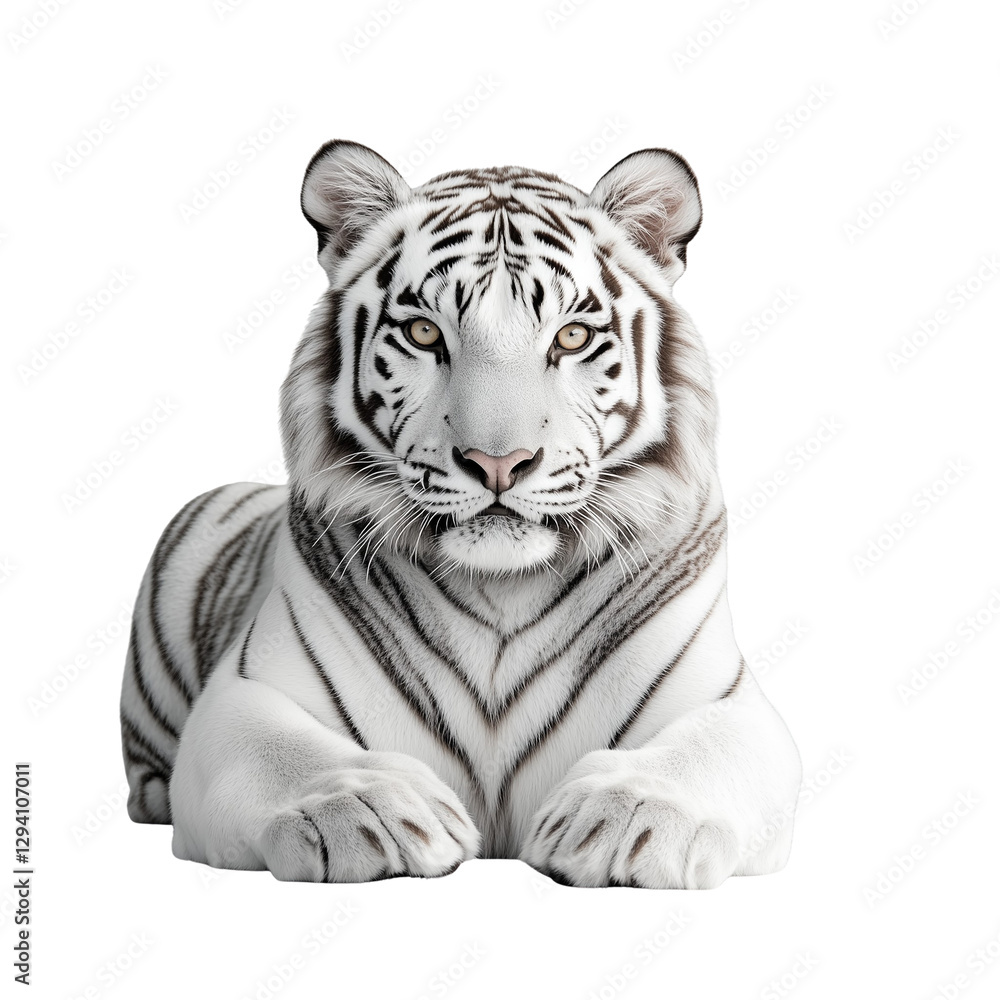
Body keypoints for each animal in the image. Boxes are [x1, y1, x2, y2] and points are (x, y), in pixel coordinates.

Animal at [119, 139, 802, 888]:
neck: (501, 589)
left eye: (571, 337)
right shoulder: (244, 692)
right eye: (424, 333)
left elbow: (702, 754)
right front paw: (375, 812)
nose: (499, 463)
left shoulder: (730, 703)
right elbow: (289, 755)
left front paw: (621, 821)